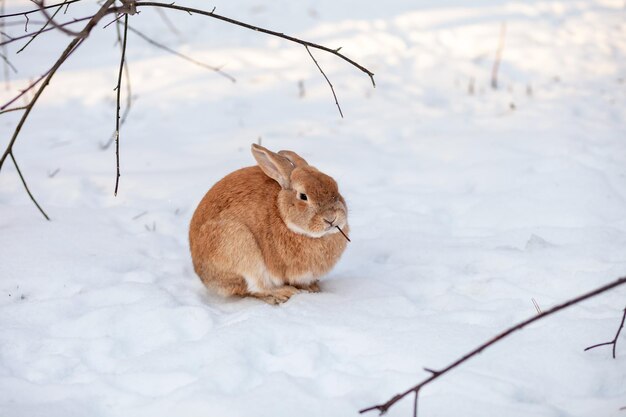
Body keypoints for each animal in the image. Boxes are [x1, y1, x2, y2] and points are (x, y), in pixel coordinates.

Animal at [188, 143, 348, 302]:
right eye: (303, 196)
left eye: (335, 187)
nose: (331, 218)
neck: (282, 213)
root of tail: (203, 276)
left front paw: (312, 287)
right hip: (240, 248)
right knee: (257, 288)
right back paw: (284, 293)